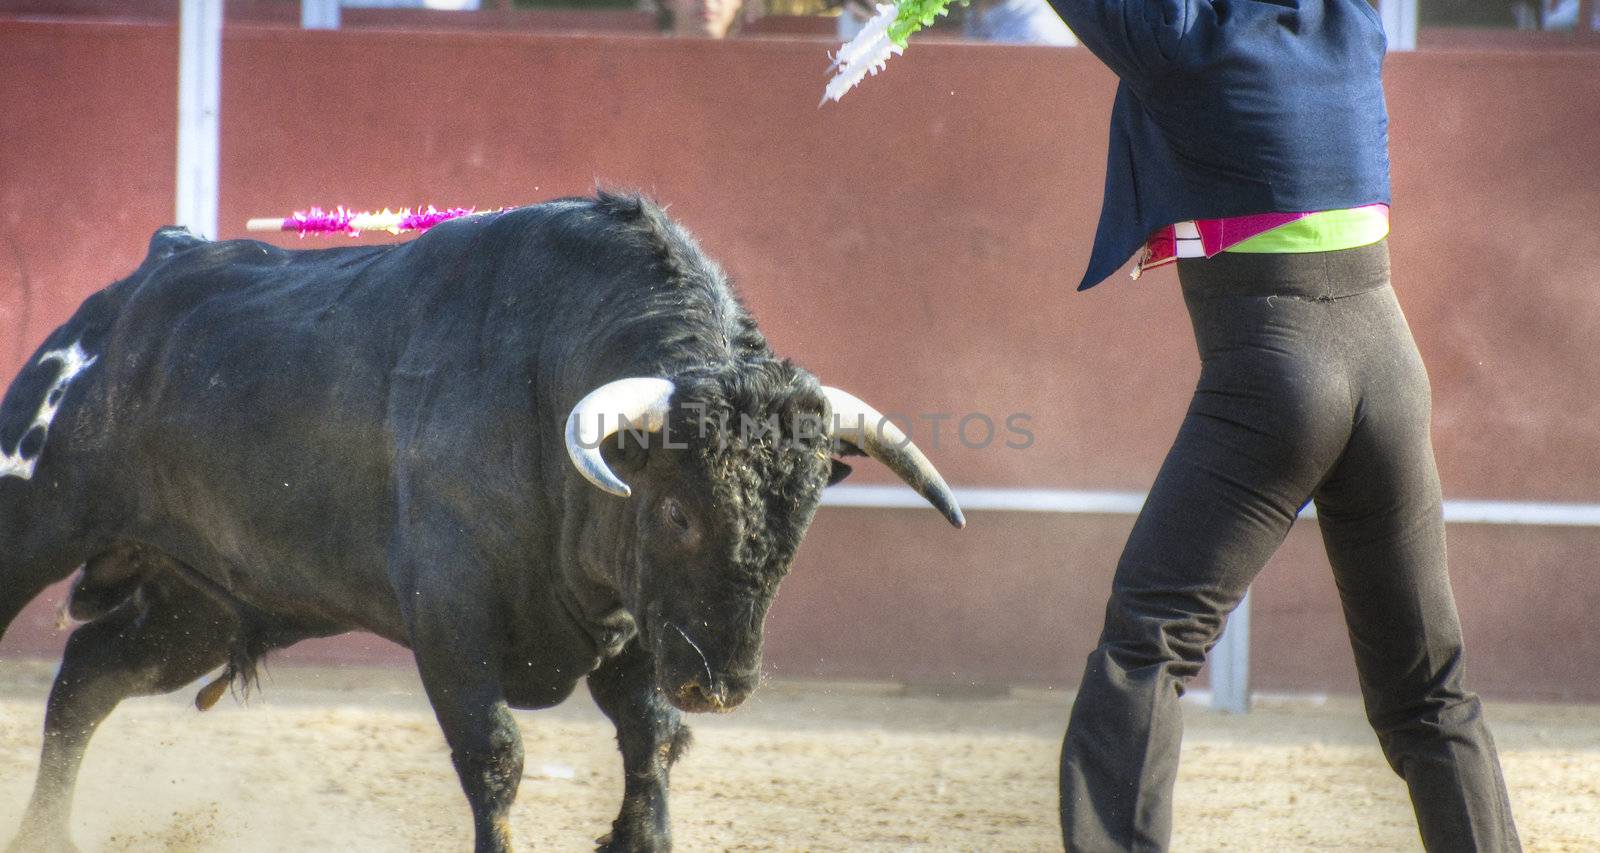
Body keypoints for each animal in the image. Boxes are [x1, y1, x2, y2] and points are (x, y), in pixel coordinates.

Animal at [0, 194, 960, 851]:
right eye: (678, 510)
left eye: (800, 521)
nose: (720, 683)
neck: (544, 377)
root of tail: (131, 289)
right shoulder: (452, 619)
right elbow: (495, 754)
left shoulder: (637, 623)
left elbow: (651, 741)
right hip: (33, 522)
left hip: (195, 598)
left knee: (85, 676)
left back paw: (50, 834)